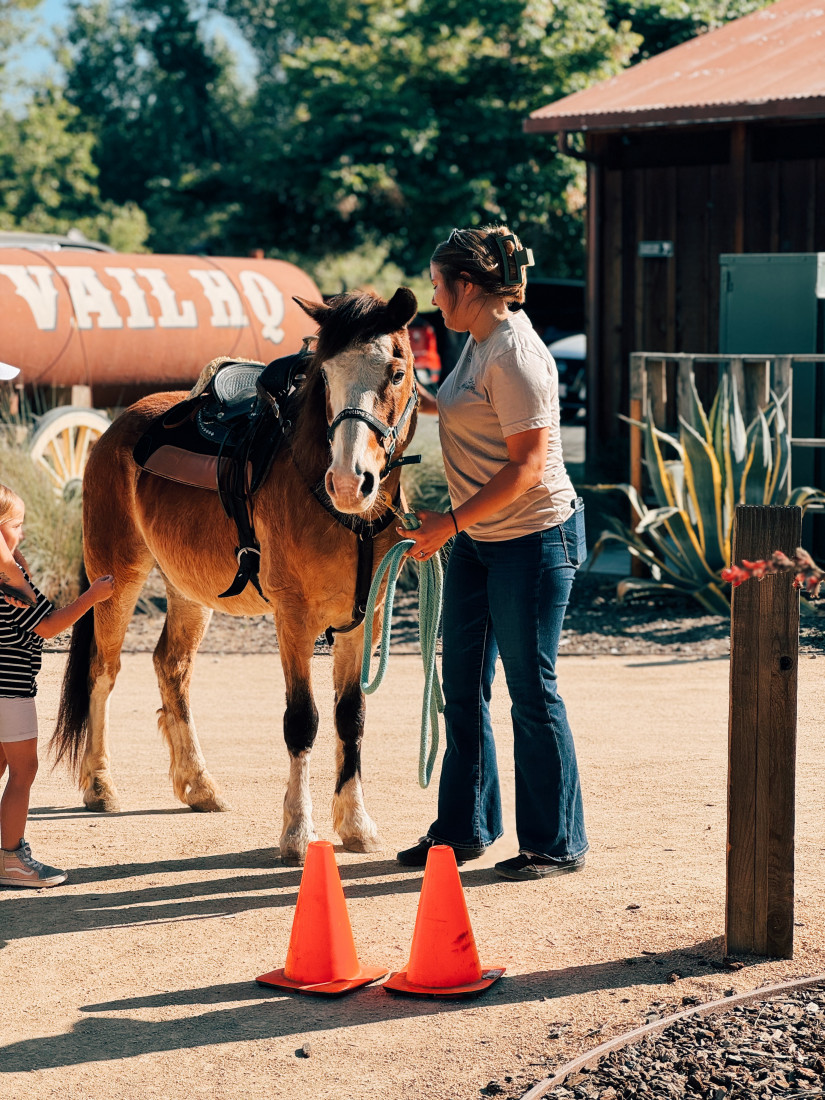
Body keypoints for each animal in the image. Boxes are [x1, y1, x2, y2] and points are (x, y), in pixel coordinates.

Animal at [53, 281, 420, 858]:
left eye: (397, 372)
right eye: (325, 375)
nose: (348, 481)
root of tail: (117, 426)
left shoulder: (362, 618)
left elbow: (351, 716)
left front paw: (356, 824)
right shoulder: (293, 617)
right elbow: (303, 721)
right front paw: (297, 832)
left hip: (188, 590)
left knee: (171, 666)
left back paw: (199, 785)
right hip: (116, 577)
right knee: (102, 670)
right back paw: (100, 785)